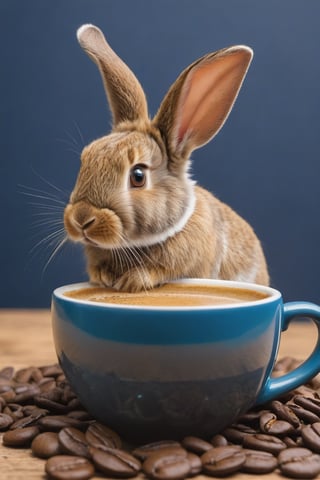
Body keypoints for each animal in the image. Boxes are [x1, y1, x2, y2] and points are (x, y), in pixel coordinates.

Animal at [63, 24, 268, 292]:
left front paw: (131, 281)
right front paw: (103, 278)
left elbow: (158, 271)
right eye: (85, 159)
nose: (81, 219)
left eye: (138, 176)